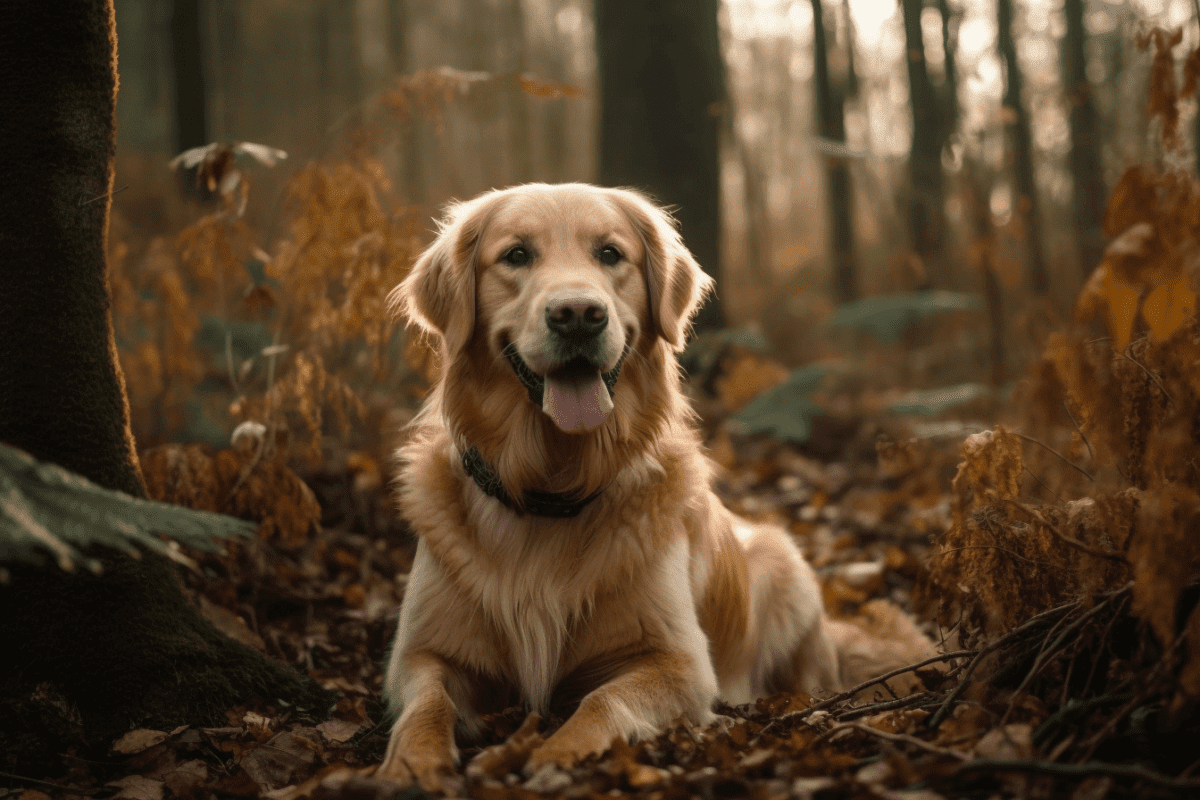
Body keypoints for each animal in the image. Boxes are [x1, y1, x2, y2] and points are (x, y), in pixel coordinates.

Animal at [379, 184, 931, 791]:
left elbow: (601, 701)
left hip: (785, 569)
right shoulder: (421, 654)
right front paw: (411, 762)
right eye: (516, 255)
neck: (551, 489)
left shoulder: (680, 661)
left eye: (610, 254)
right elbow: (426, 704)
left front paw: (557, 756)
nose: (579, 315)